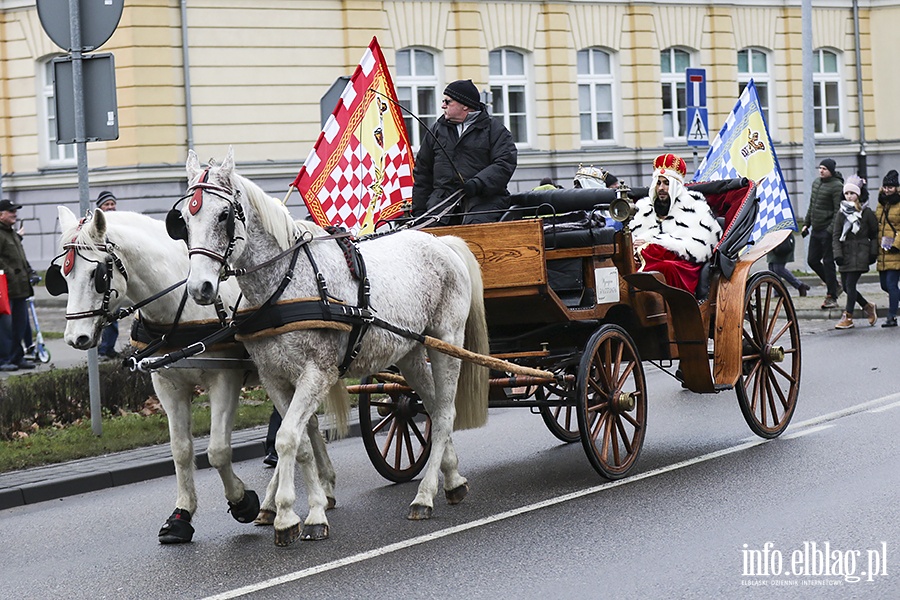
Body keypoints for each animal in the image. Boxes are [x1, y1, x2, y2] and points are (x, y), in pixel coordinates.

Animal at [53, 206, 338, 544]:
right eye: (63, 276)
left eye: (97, 274)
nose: (76, 338)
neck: (180, 309)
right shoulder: (167, 385)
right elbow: (181, 450)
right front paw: (181, 515)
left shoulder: (224, 380)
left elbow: (217, 450)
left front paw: (242, 501)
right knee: (308, 424)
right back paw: (317, 489)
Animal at [177, 148, 492, 548]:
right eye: (184, 219)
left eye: (223, 215)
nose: (200, 288)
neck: (285, 283)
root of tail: (442, 241)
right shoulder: (275, 378)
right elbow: (300, 441)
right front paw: (305, 511)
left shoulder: (318, 372)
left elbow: (287, 438)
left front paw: (292, 515)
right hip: (409, 353)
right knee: (434, 410)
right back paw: (452, 480)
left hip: (446, 343)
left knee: (447, 413)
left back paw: (425, 496)